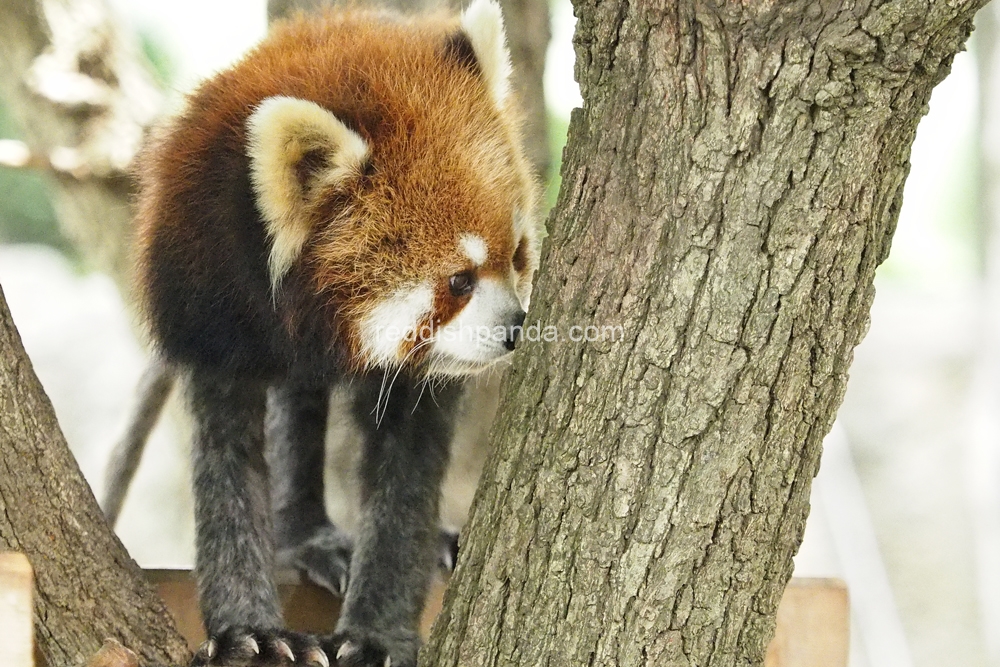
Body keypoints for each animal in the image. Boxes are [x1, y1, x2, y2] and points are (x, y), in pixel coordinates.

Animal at [135, 2, 540, 664]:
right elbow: (228, 459)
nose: (514, 329)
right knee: (294, 409)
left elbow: (406, 470)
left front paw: (377, 633)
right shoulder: (208, 297)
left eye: (518, 256)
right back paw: (307, 539)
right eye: (459, 280)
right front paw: (247, 633)